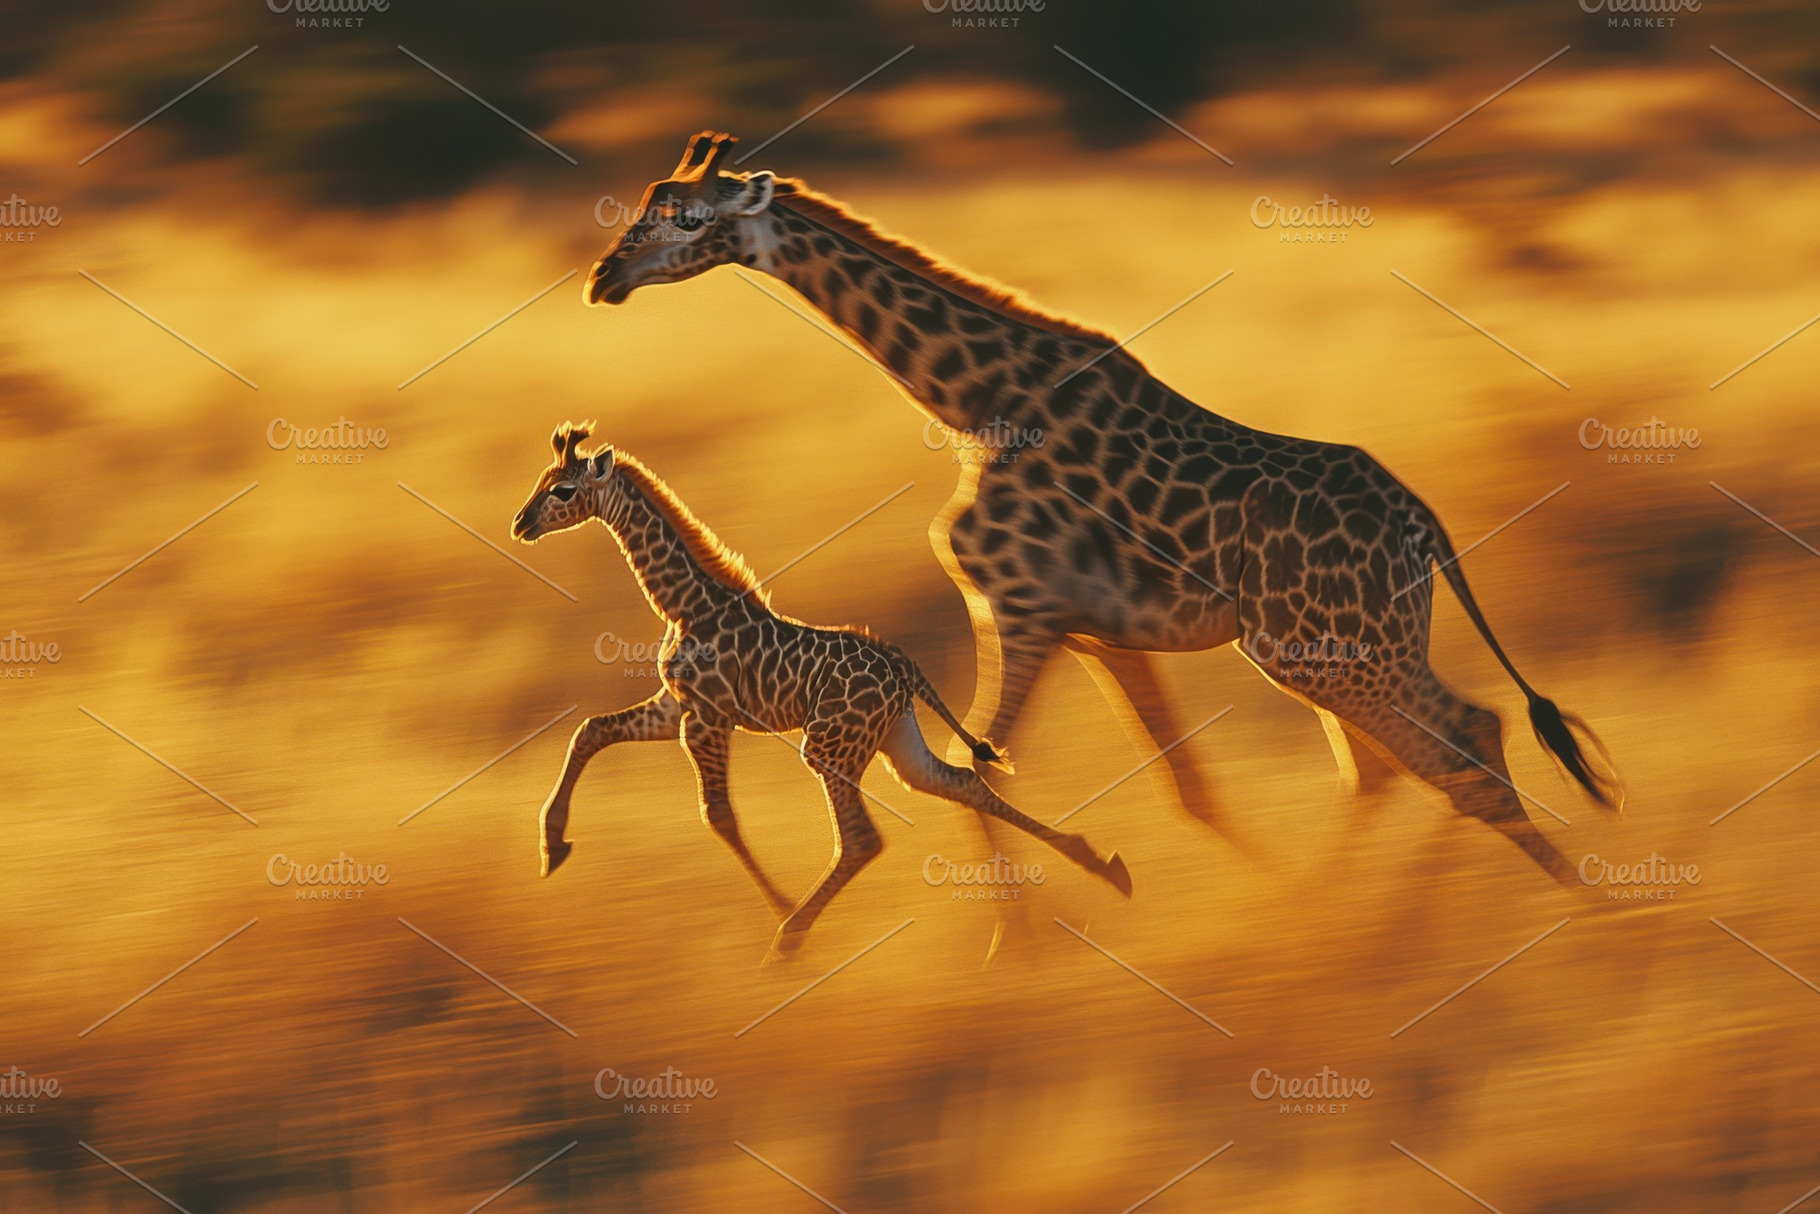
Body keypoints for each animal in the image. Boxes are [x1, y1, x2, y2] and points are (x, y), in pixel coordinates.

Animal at [512, 422, 1132, 956]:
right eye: (541, 481)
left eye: (563, 490)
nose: (520, 524)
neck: (684, 604)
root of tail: (905, 668)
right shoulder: (677, 709)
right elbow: (591, 731)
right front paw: (552, 848)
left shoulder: (707, 717)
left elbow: (719, 815)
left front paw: (779, 902)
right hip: (893, 738)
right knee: (957, 781)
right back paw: (1100, 868)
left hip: (830, 746)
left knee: (862, 838)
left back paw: (789, 938)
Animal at [583, 131, 1623, 885]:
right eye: (642, 209)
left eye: (682, 218)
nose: (603, 278)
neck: (972, 403)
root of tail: (1423, 526)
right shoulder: (1097, 633)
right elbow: (1185, 789)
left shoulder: (1020, 609)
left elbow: (978, 766)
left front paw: (1022, 951)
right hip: (1346, 651)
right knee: (1443, 747)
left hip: (1318, 650)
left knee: (1453, 757)